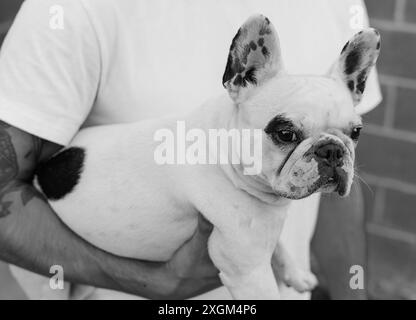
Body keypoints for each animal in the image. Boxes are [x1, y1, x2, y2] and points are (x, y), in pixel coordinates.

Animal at [35, 15, 380, 300]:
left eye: (356, 132)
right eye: (285, 133)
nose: (332, 149)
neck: (225, 157)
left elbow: (279, 246)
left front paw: (295, 273)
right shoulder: (249, 273)